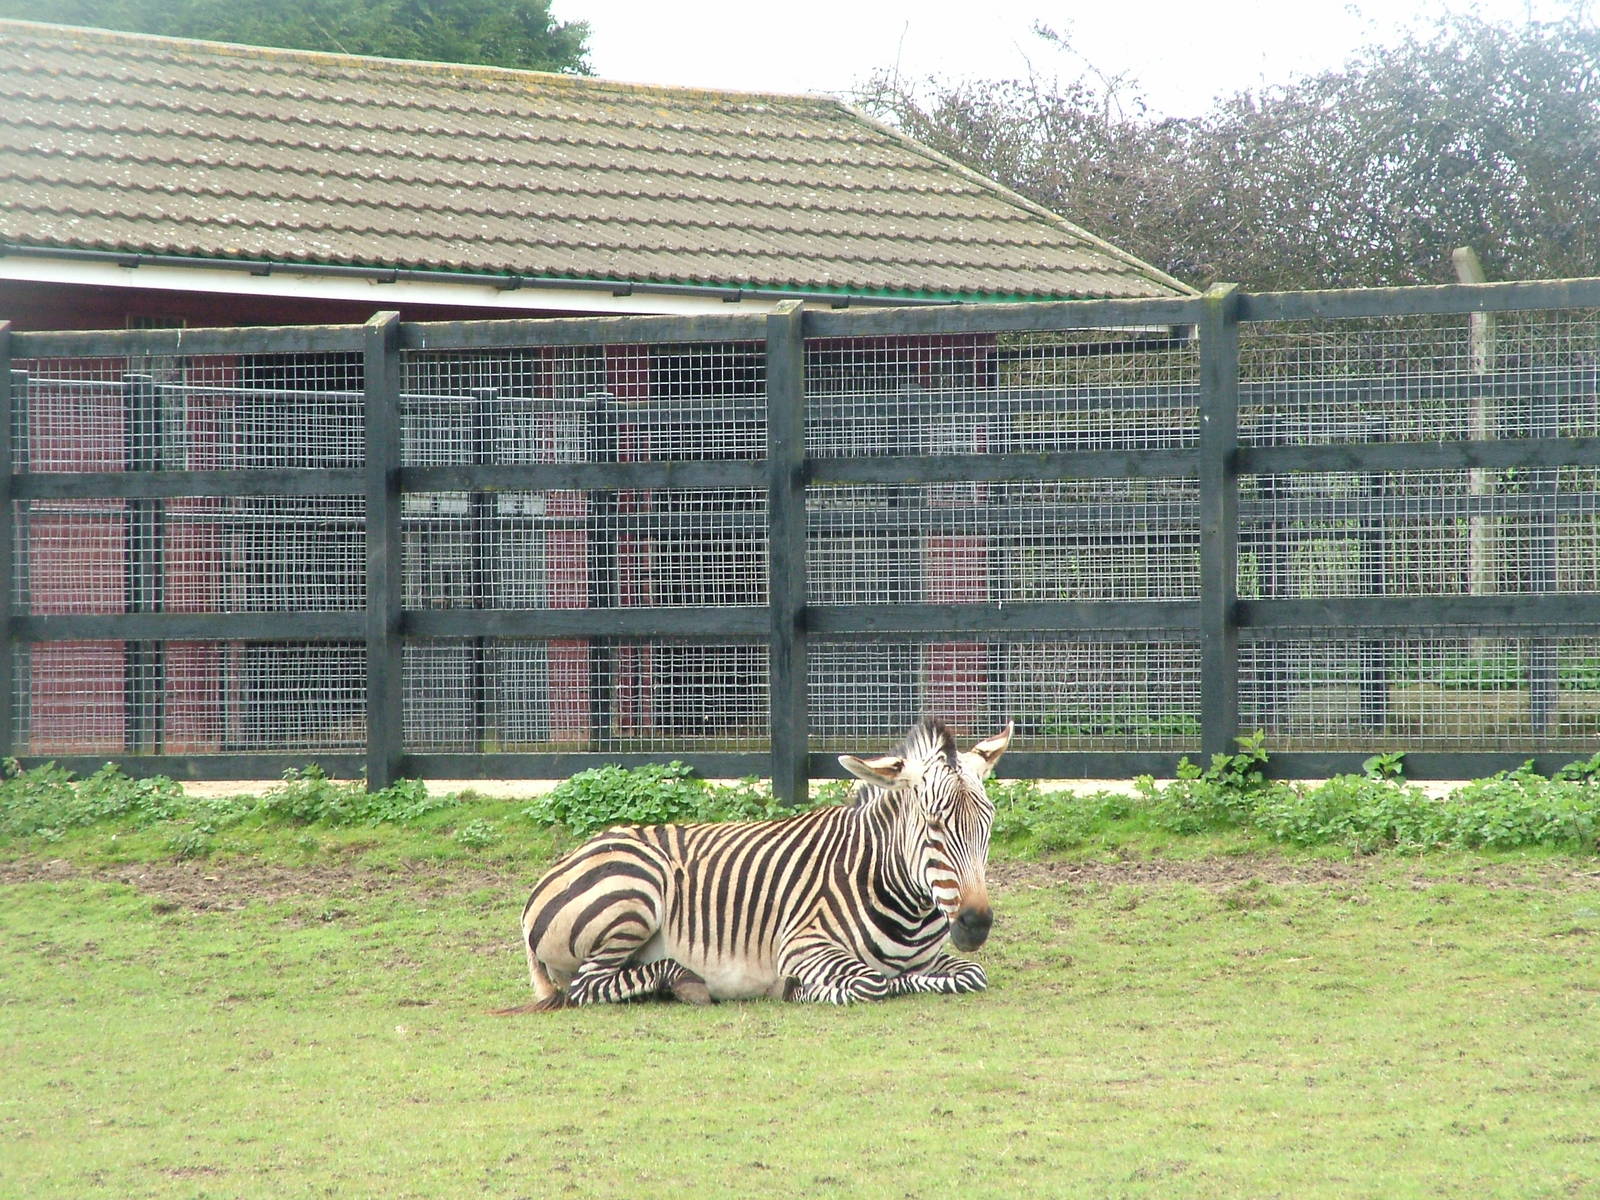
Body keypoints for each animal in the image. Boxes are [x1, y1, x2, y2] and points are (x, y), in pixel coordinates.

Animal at [506, 719, 1013, 1009]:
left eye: (988, 821)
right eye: (933, 825)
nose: (976, 924)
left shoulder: (936, 959)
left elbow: (970, 974)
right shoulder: (803, 945)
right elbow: (872, 984)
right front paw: (802, 990)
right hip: (634, 892)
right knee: (586, 987)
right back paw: (684, 982)